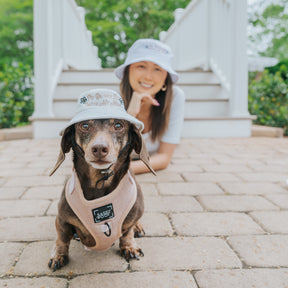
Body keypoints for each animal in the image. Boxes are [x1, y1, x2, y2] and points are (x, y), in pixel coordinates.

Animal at [48, 89, 155, 270]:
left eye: (118, 125)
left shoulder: (131, 217)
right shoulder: (61, 219)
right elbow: (61, 238)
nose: (99, 148)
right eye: (84, 126)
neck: (99, 182)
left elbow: (127, 232)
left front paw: (129, 247)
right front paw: (58, 255)